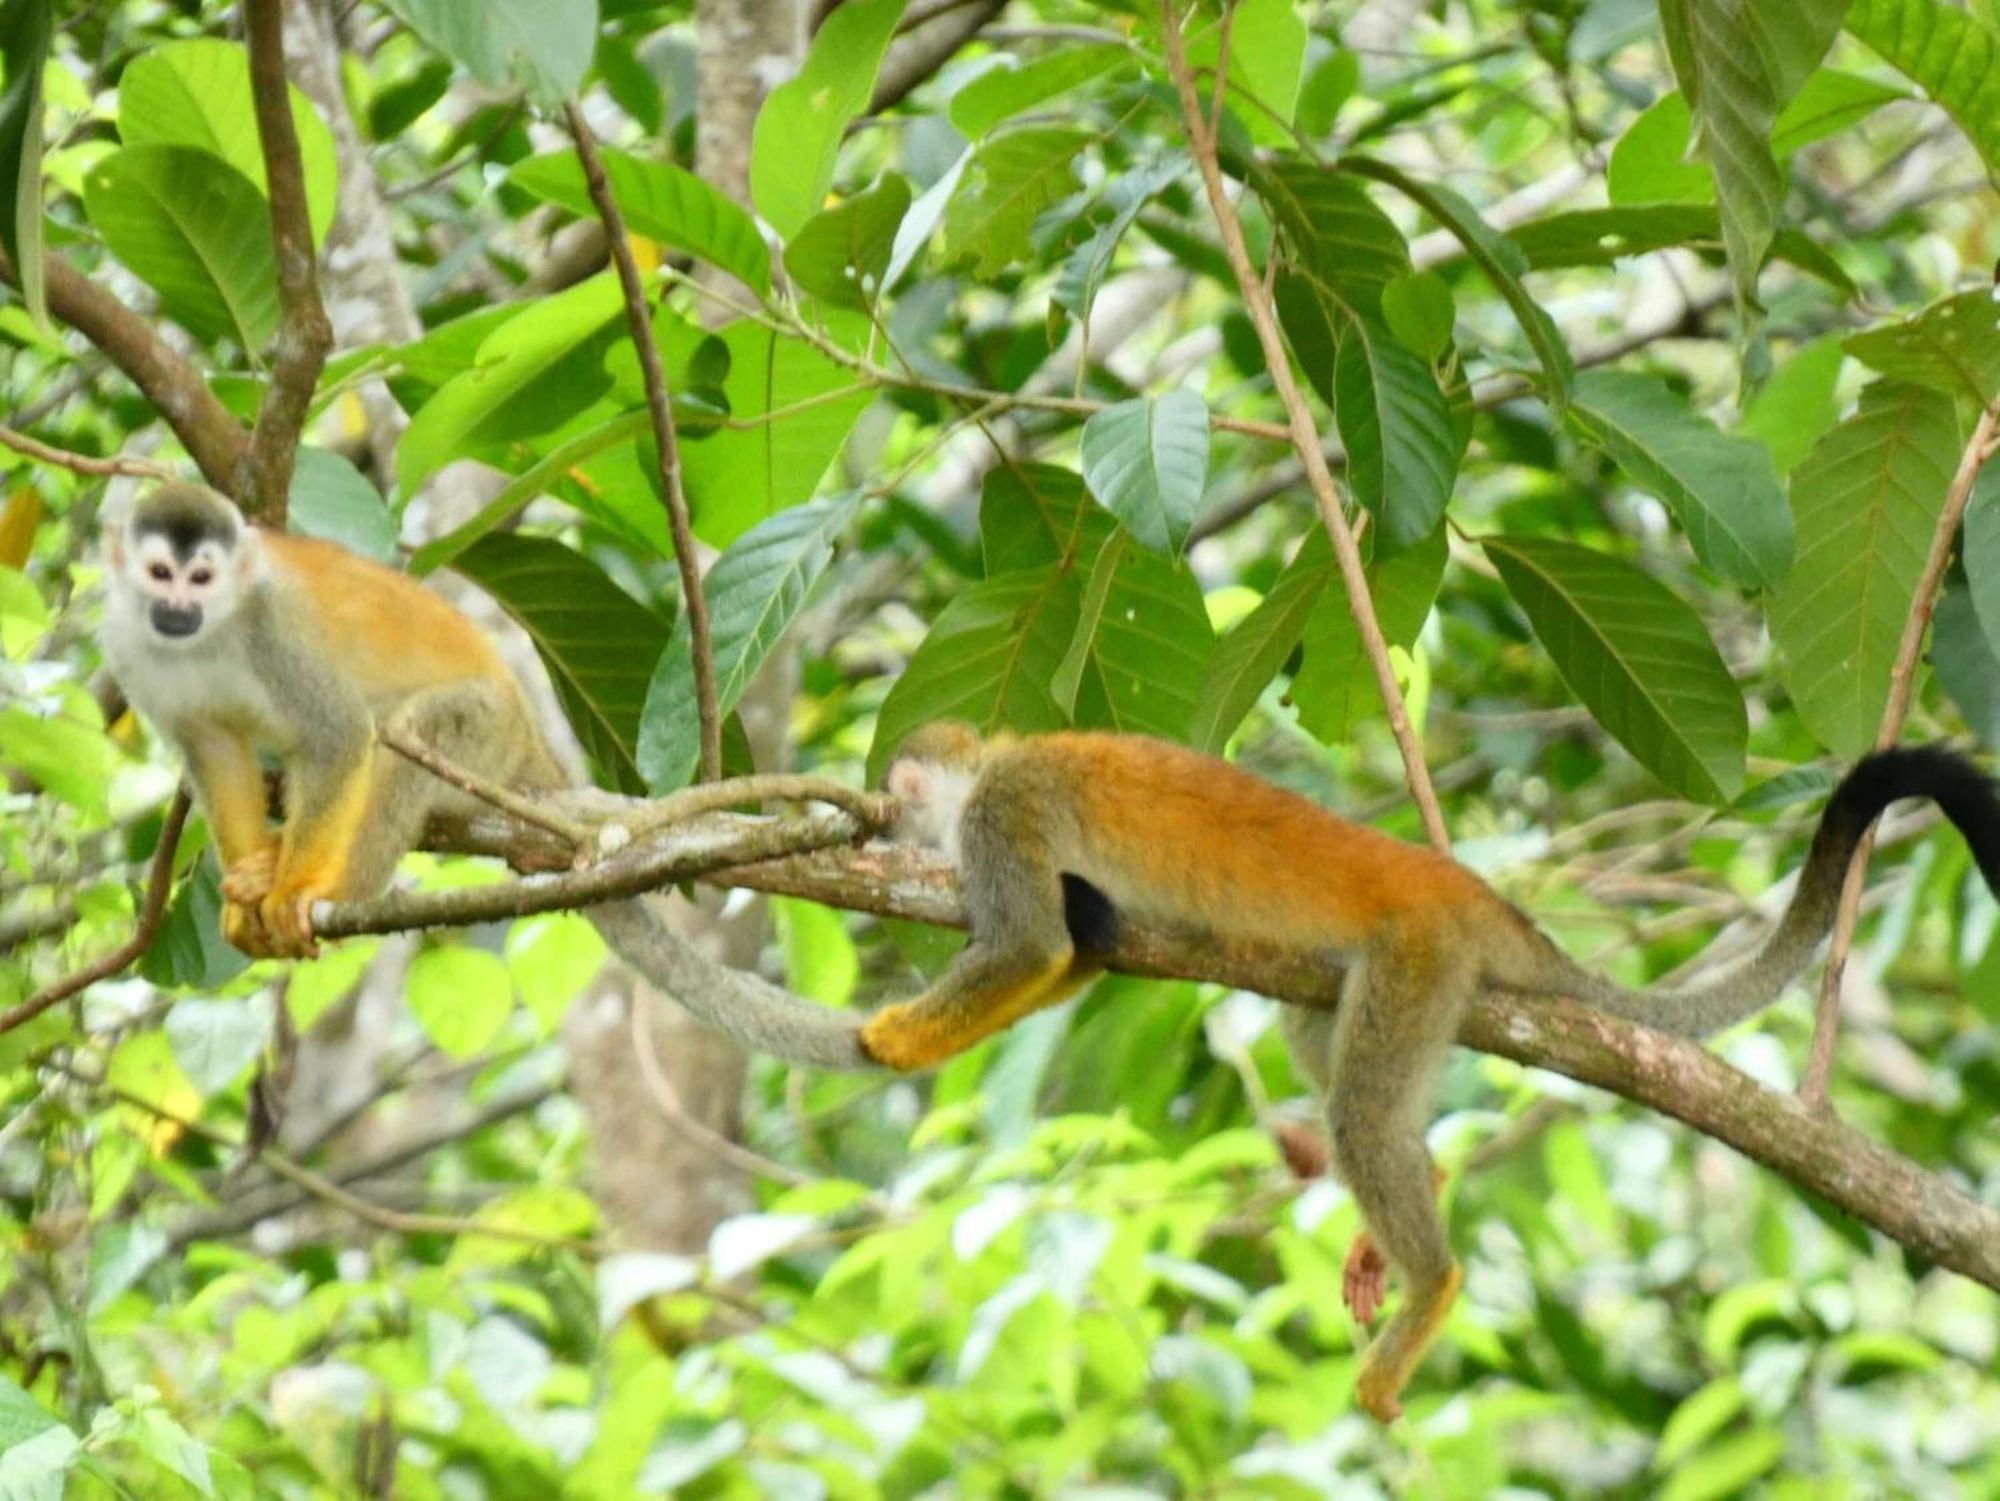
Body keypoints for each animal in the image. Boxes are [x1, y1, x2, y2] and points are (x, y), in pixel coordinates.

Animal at [872, 724, 2000, 1424]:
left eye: (895, 797)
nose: (878, 819)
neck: (994, 765)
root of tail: (1471, 894)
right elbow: (1079, 947)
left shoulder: (1000, 817)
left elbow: (1029, 946)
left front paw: (892, 1040)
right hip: (1406, 975)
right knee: (1328, 1044)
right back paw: (1414, 1203)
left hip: (1419, 954)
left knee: (1361, 1112)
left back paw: (1430, 1281)